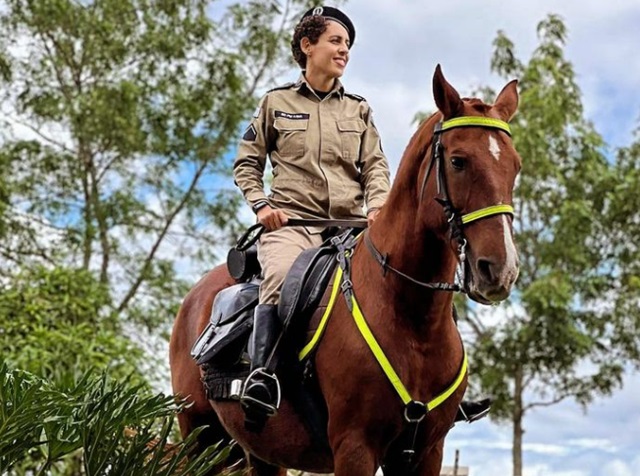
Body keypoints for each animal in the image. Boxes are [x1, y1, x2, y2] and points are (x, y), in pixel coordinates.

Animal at [170, 64, 520, 476]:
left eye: (515, 166)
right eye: (458, 161)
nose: (500, 269)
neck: (413, 320)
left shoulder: (426, 452)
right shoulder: (355, 448)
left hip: (257, 452)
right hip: (200, 437)